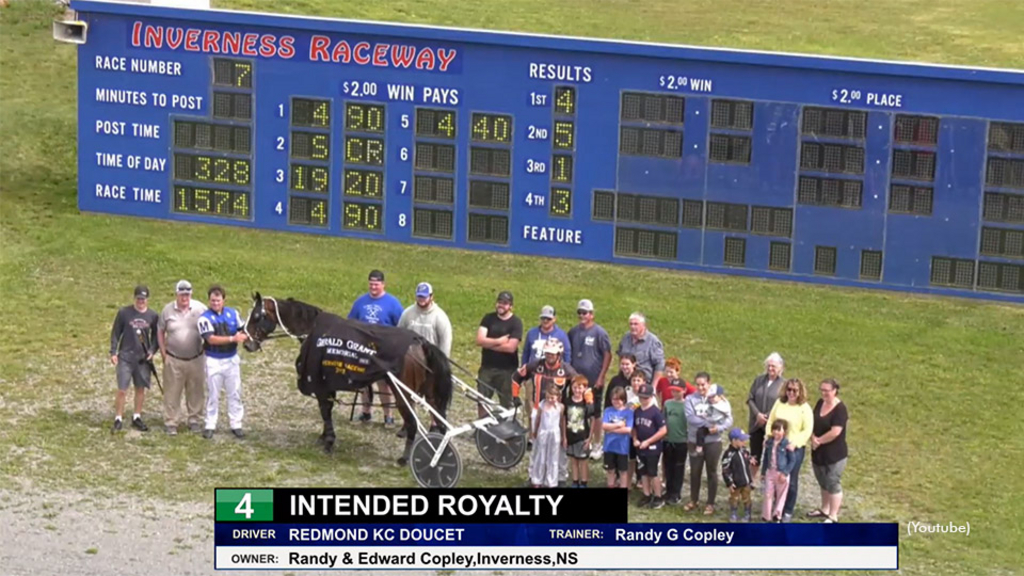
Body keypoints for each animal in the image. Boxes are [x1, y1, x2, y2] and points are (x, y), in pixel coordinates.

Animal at [243, 291, 452, 461]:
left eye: (256, 316)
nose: (246, 343)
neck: (315, 330)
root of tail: (420, 342)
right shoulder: (327, 384)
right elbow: (326, 411)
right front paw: (324, 437)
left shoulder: (320, 385)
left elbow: (325, 411)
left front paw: (328, 441)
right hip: (429, 394)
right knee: (440, 422)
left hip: (403, 394)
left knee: (413, 423)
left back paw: (405, 457)